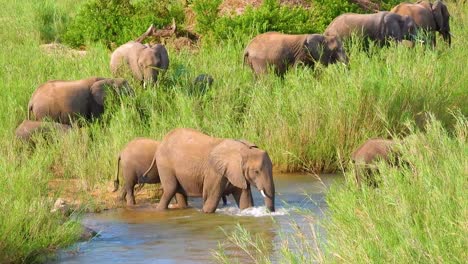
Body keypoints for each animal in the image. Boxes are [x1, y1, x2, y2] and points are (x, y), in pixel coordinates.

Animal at [144, 129, 276, 213]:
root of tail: (161, 142)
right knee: (170, 189)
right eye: (256, 171)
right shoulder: (215, 172)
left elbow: (245, 201)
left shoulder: (238, 173)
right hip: (164, 165)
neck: (244, 150)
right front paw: (206, 212)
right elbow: (210, 202)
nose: (269, 212)